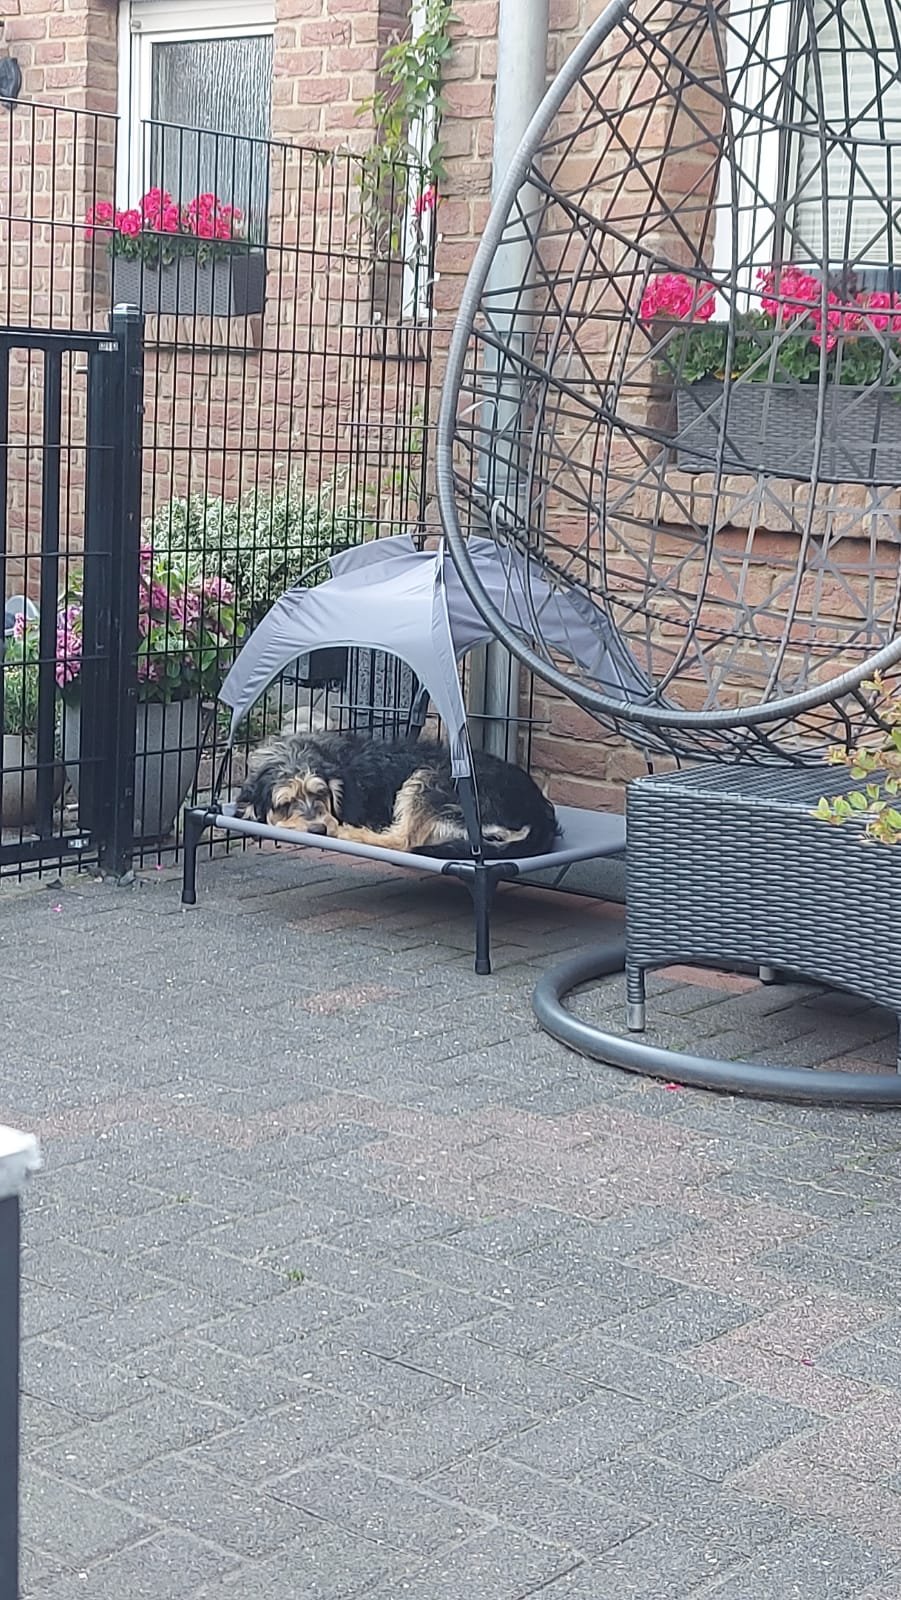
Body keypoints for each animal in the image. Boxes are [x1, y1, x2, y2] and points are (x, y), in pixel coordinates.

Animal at [236, 730, 559, 859]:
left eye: (321, 793)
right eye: (286, 803)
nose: (319, 829)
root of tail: (539, 813)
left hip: (429, 781)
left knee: (402, 841)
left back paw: (351, 833)